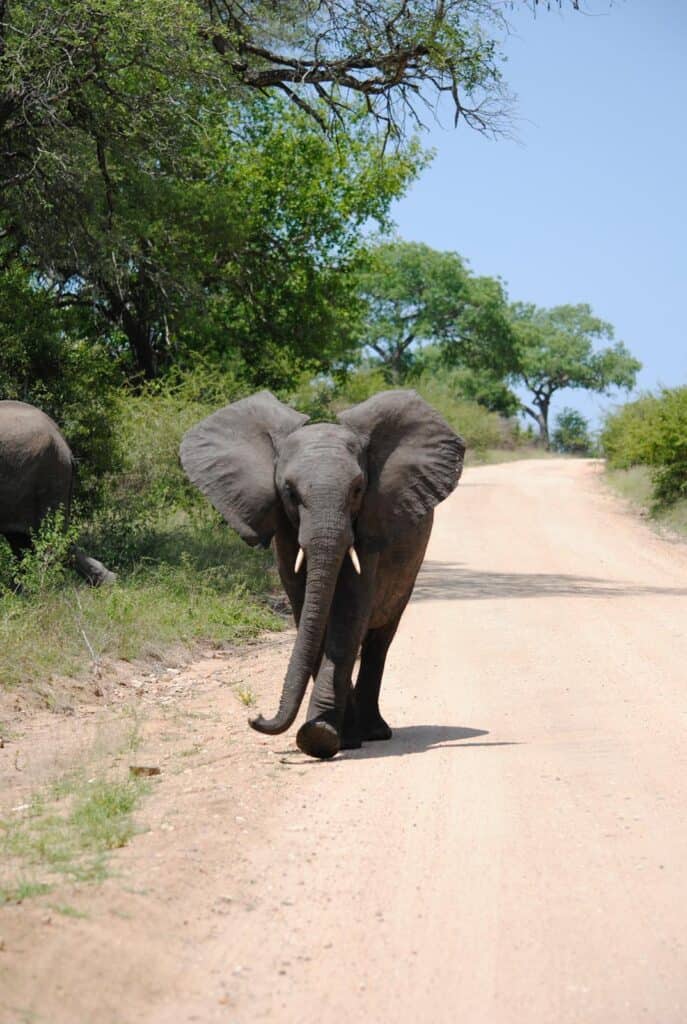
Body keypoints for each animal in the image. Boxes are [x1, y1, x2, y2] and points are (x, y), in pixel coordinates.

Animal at [180, 391, 464, 761]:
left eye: (357, 490)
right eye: (289, 491)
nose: (257, 717)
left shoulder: (370, 525)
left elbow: (348, 614)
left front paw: (320, 737)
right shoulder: (286, 531)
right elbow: (308, 611)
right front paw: (337, 738)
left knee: (380, 638)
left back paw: (376, 732)